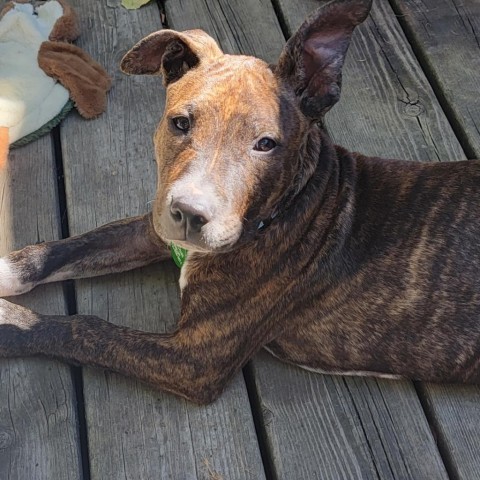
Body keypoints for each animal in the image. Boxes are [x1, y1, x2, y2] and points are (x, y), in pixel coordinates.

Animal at [0, 0, 480, 404]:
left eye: (266, 144)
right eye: (180, 123)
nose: (190, 214)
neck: (290, 206)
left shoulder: (194, 360)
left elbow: (85, 329)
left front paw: (10, 323)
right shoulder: (156, 227)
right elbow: (67, 247)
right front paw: (9, 270)